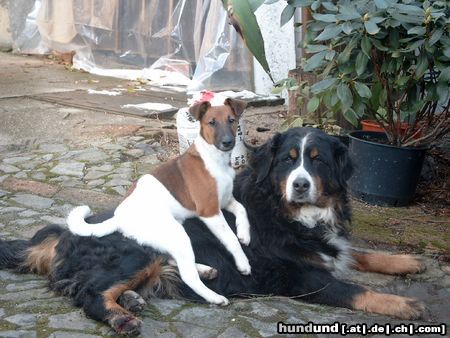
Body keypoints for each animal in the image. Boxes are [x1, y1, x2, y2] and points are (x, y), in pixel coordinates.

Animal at [0, 127, 426, 336]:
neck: (292, 213)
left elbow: (361, 254)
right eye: (288, 162)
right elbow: (354, 289)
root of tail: (64, 233)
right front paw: (404, 304)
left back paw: (136, 299)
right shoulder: (300, 276)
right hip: (137, 251)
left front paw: (407, 261)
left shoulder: (330, 245)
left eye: (317, 161)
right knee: (88, 292)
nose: (301, 184)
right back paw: (123, 317)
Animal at [67, 95, 250, 306]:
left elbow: (242, 209)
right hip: (176, 233)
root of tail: (119, 218)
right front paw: (243, 262)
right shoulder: (210, 211)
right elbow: (231, 239)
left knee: (171, 258)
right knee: (186, 274)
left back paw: (203, 269)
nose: (228, 142)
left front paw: (245, 234)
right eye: (211, 123)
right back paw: (214, 296)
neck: (215, 159)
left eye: (232, 120)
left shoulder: (226, 200)